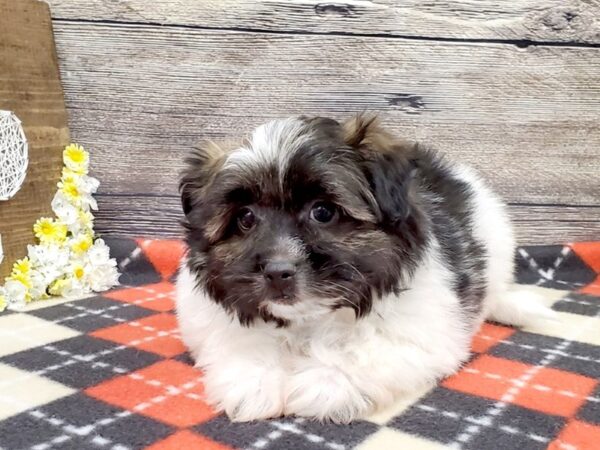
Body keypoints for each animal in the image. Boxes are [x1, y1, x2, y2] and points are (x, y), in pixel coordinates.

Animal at [175, 114, 552, 424]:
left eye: (323, 212)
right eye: (246, 218)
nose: (278, 271)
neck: (308, 321)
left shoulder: (423, 334)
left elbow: (364, 353)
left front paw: (324, 381)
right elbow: (240, 340)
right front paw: (254, 380)